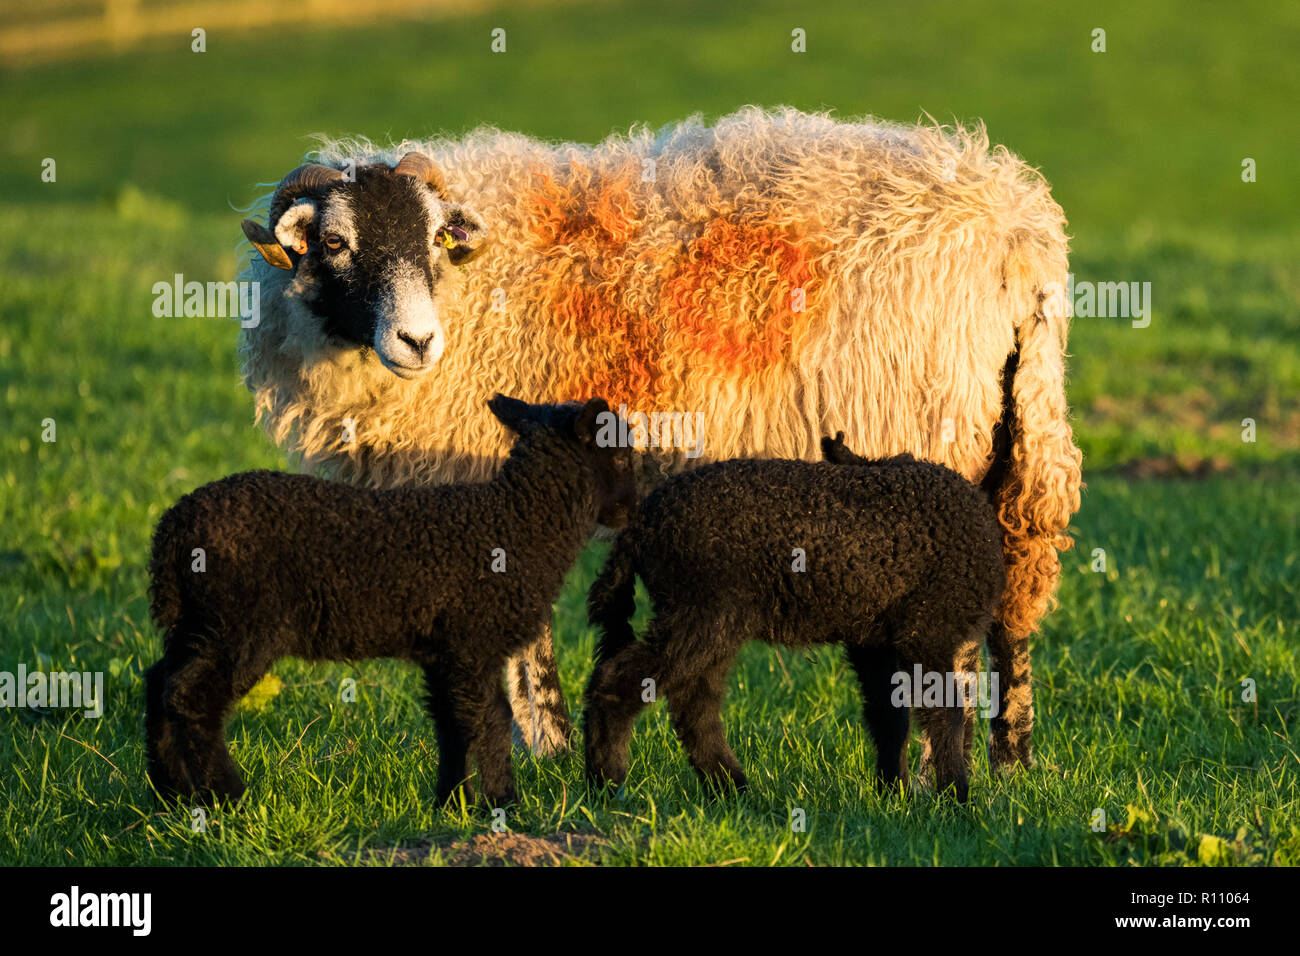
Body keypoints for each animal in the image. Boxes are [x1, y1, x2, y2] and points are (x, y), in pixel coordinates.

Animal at [142, 395, 634, 806]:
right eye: (619, 453)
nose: (631, 510)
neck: (522, 521)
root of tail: (173, 528)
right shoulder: (473, 641)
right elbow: (492, 719)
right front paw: (503, 803)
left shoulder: (444, 653)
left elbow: (452, 724)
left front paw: (451, 803)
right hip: (242, 623)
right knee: (189, 696)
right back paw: (227, 796)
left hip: (199, 621)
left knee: (159, 682)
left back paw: (170, 794)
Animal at [239, 104, 1081, 764]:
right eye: (337, 244)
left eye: (434, 236)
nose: (418, 342)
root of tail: (1016, 224)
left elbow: (524, 636)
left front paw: (545, 752)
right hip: (1016, 422)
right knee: (1017, 587)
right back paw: (1011, 757)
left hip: (929, 425)